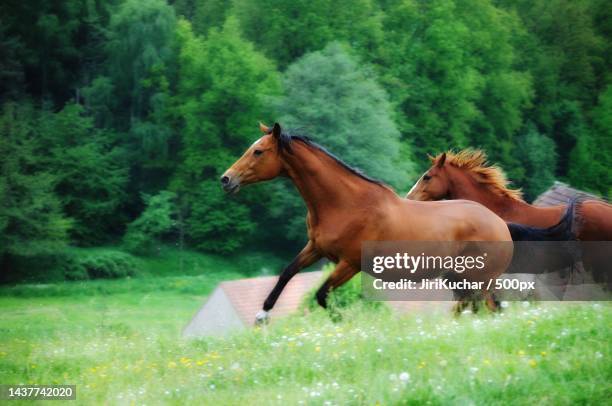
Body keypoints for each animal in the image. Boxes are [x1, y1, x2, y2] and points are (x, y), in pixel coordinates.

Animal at [221, 123, 568, 324]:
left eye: (258, 151)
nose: (226, 179)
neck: (346, 203)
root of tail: (500, 223)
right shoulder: (316, 248)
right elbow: (286, 273)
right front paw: (262, 315)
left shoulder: (350, 263)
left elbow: (321, 296)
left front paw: (345, 324)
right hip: (460, 280)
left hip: (479, 279)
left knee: (488, 308)